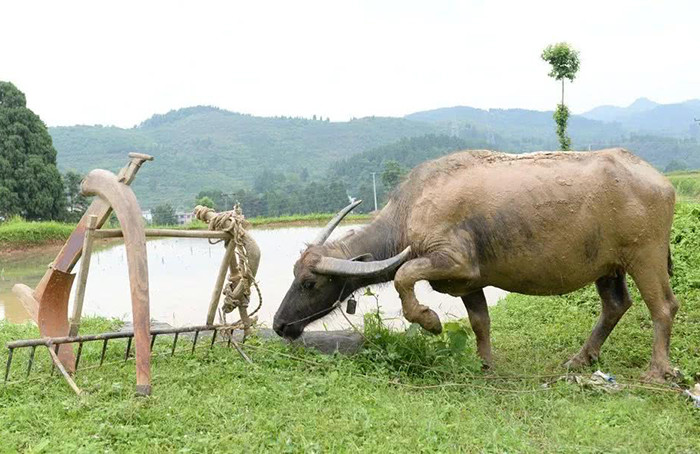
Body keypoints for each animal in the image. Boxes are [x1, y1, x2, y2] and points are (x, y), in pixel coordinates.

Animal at [272, 148, 680, 380]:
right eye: (294, 275)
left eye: (309, 283)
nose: (279, 325)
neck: (409, 213)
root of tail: (660, 180)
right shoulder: (469, 283)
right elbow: (480, 322)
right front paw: (484, 366)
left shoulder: (453, 264)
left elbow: (404, 276)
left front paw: (431, 321)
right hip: (608, 267)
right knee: (615, 305)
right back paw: (580, 359)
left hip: (646, 256)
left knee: (663, 306)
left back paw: (657, 371)